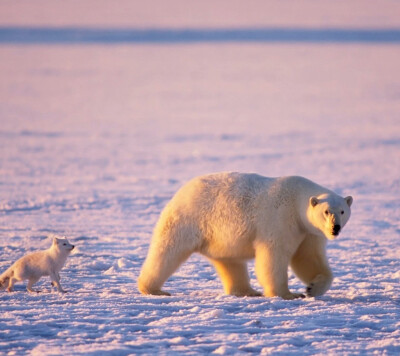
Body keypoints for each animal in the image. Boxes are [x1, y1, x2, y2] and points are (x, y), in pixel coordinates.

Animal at [138, 172, 354, 298]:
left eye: (342, 211)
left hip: (220, 237)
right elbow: (273, 256)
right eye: (326, 211)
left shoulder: (308, 231)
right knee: (168, 251)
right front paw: (287, 294)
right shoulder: (281, 219)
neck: (297, 199)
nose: (335, 228)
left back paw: (247, 291)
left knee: (230, 262)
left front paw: (312, 288)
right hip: (189, 219)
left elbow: (308, 258)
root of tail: (181, 191)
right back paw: (153, 289)